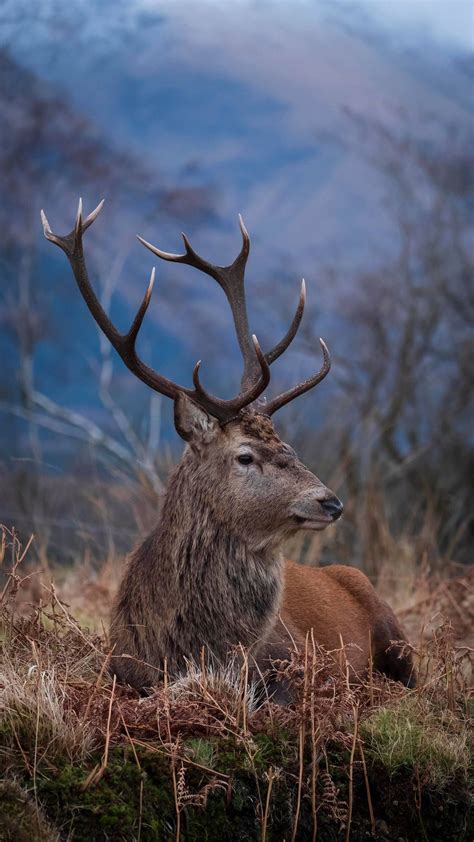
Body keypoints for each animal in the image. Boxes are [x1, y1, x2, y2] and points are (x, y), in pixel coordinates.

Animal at [42, 199, 416, 696]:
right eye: (245, 456)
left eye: (290, 447)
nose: (332, 502)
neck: (191, 648)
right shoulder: (120, 670)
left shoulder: (290, 668)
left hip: (397, 636)